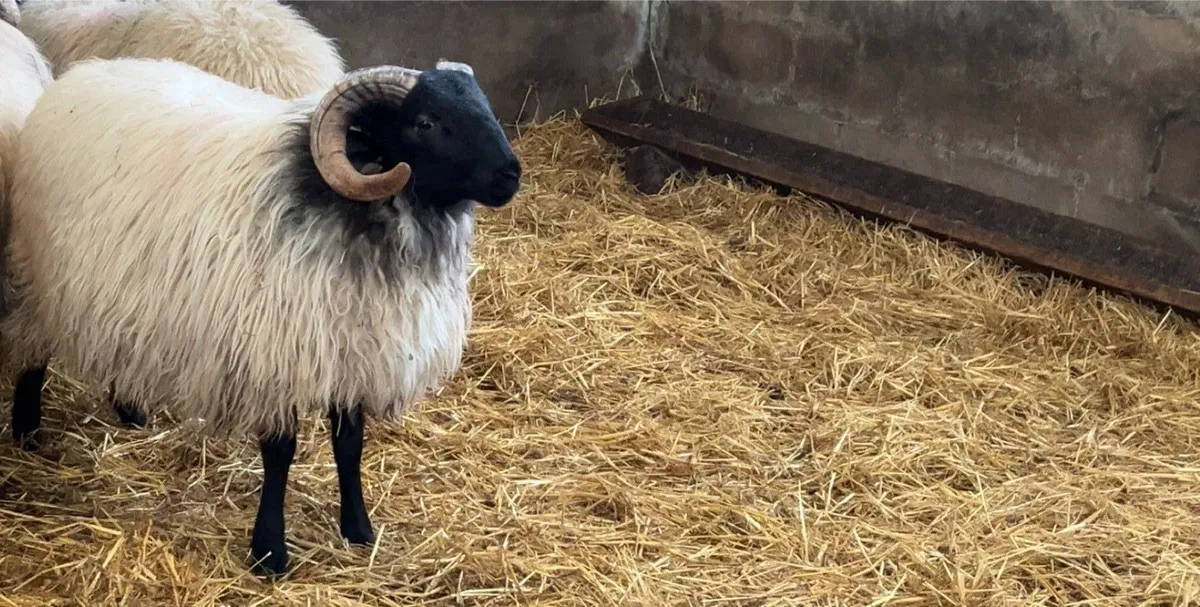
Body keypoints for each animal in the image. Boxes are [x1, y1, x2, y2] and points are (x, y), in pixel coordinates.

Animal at [3, 55, 521, 576]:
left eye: (484, 105)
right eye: (426, 122)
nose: (511, 174)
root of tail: (84, 72)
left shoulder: (352, 347)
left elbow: (350, 445)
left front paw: (358, 530)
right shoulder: (275, 356)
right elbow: (280, 454)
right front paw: (269, 549)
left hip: (121, 289)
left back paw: (130, 409)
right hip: (38, 271)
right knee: (33, 350)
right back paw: (27, 430)